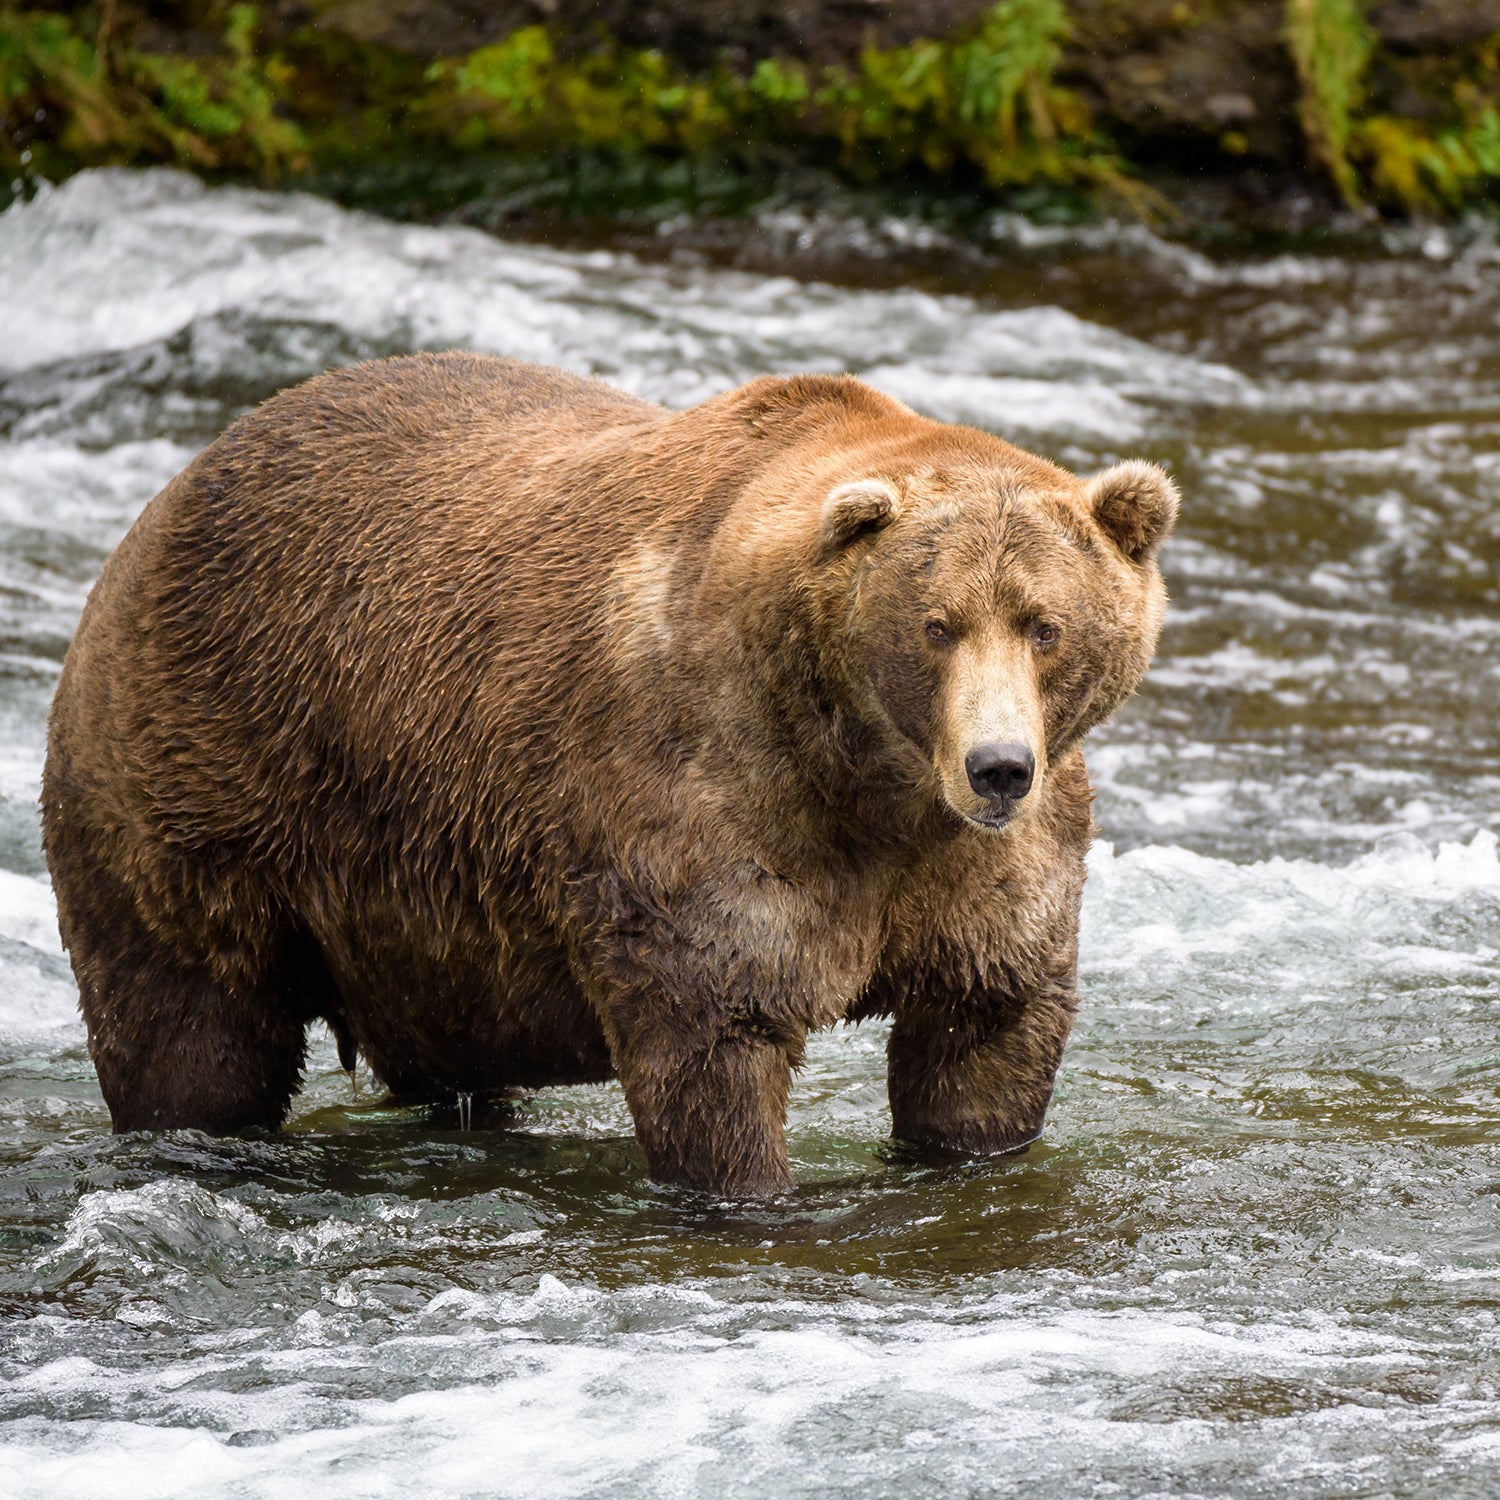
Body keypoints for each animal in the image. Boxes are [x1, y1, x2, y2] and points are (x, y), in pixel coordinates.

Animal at [41, 354, 1176, 1194]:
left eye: (1044, 624)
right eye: (936, 626)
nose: (999, 769)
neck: (868, 780)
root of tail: (165, 501)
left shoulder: (983, 874)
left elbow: (986, 1033)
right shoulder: (703, 796)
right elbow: (713, 1040)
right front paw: (750, 1189)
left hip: (409, 911)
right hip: (198, 781)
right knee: (192, 1027)